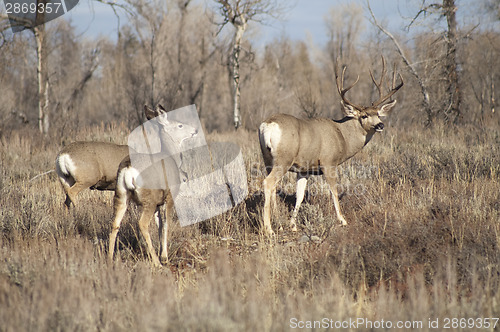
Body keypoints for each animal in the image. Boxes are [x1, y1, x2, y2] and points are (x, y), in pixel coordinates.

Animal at [108, 105, 198, 266]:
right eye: (179, 125)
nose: (195, 130)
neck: (172, 157)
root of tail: (129, 168)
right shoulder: (169, 196)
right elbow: (167, 223)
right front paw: (165, 256)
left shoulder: (158, 203)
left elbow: (160, 225)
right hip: (148, 197)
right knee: (142, 224)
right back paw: (156, 262)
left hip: (121, 194)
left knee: (114, 223)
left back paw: (108, 259)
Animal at [258, 57, 402, 233]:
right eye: (364, 115)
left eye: (378, 114)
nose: (380, 125)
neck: (342, 136)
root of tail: (268, 125)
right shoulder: (329, 162)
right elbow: (334, 191)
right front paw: (343, 220)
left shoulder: (304, 169)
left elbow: (300, 196)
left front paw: (292, 225)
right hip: (283, 159)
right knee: (268, 183)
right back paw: (269, 229)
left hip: (267, 159)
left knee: (272, 186)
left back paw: (277, 222)